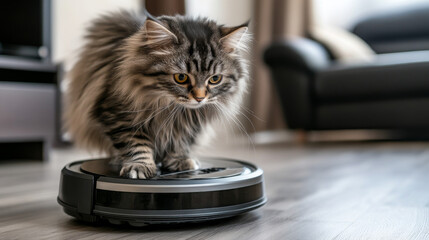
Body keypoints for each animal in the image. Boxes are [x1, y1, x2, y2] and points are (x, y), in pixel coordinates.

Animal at [65, 10, 249, 178]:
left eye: (215, 79)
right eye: (181, 78)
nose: (199, 98)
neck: (171, 109)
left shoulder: (191, 122)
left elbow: (180, 142)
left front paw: (179, 161)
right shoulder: (118, 115)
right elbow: (136, 144)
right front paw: (139, 166)